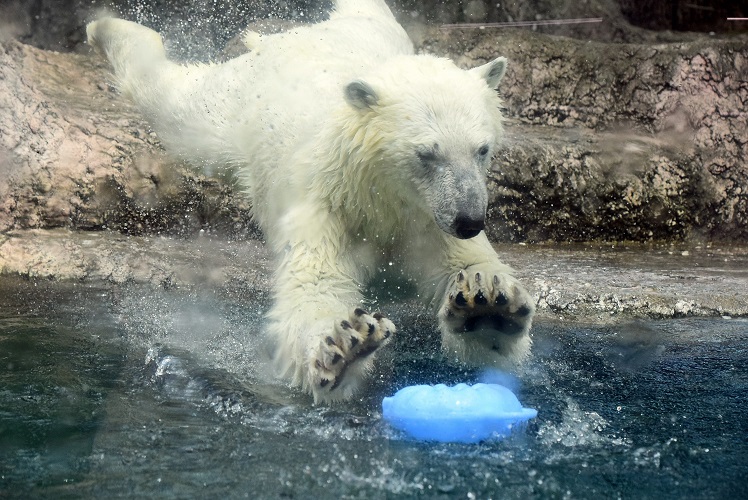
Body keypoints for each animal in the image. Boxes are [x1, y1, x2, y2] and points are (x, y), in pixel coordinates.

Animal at [86, 0, 532, 404]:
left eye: (482, 149)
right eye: (427, 154)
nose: (469, 220)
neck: (382, 197)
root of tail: (289, 35)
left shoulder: (426, 218)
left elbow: (466, 268)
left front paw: (486, 306)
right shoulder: (331, 206)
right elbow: (315, 285)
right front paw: (345, 346)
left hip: (381, 33)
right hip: (233, 109)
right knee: (179, 105)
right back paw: (104, 27)